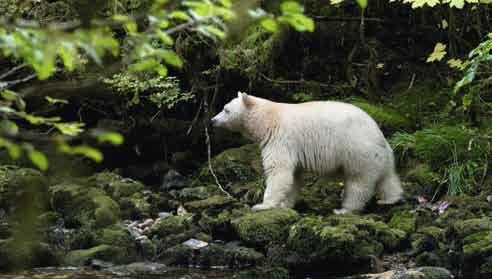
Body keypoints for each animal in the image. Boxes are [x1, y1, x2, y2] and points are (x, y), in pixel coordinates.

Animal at [211, 92, 404, 214]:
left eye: (226, 109)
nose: (213, 120)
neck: (267, 119)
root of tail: (378, 134)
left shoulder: (281, 138)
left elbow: (278, 170)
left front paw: (263, 205)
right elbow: (294, 176)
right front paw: (285, 204)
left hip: (357, 150)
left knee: (358, 182)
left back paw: (344, 209)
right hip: (379, 156)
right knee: (387, 178)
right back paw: (390, 199)